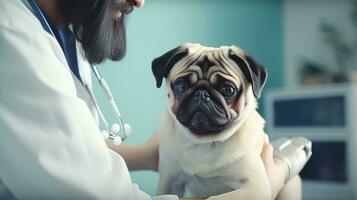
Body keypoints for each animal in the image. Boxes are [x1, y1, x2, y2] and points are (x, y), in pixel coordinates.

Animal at [151, 43, 300, 200]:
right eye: (180, 86)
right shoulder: (169, 182)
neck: (203, 142)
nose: (201, 94)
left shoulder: (256, 186)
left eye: (228, 89)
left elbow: (216, 198)